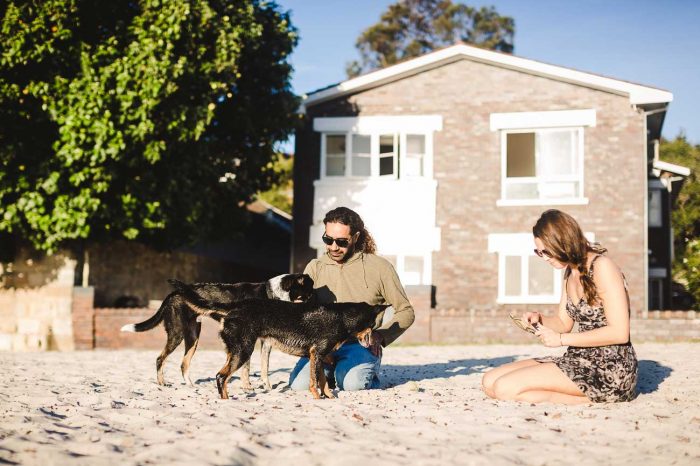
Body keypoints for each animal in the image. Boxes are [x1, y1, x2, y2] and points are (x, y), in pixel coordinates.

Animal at [121, 274, 314, 386]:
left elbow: (263, 369)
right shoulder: (249, 340)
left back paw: (191, 388)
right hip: (177, 334)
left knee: (184, 364)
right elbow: (247, 369)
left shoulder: (264, 342)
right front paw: (248, 389)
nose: (315, 299)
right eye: (310, 289)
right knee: (160, 359)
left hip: (193, 336)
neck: (270, 293)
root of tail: (173, 293)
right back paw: (162, 383)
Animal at [172, 284, 386, 400]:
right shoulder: (317, 353)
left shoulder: (318, 356)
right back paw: (226, 401)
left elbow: (323, 380)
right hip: (243, 352)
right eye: (373, 324)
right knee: (220, 376)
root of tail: (234, 307)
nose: (374, 338)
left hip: (235, 352)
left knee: (222, 377)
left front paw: (329, 396)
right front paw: (318, 398)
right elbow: (314, 382)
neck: (341, 317)